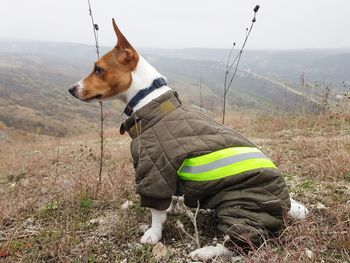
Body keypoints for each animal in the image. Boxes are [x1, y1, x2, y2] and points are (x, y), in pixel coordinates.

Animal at [69, 19, 308, 262]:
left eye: (98, 69)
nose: (71, 89)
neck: (148, 99)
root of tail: (285, 204)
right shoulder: (167, 173)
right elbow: (169, 199)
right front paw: (170, 209)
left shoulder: (153, 171)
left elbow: (155, 212)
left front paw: (153, 233)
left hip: (238, 207)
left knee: (241, 243)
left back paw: (206, 251)